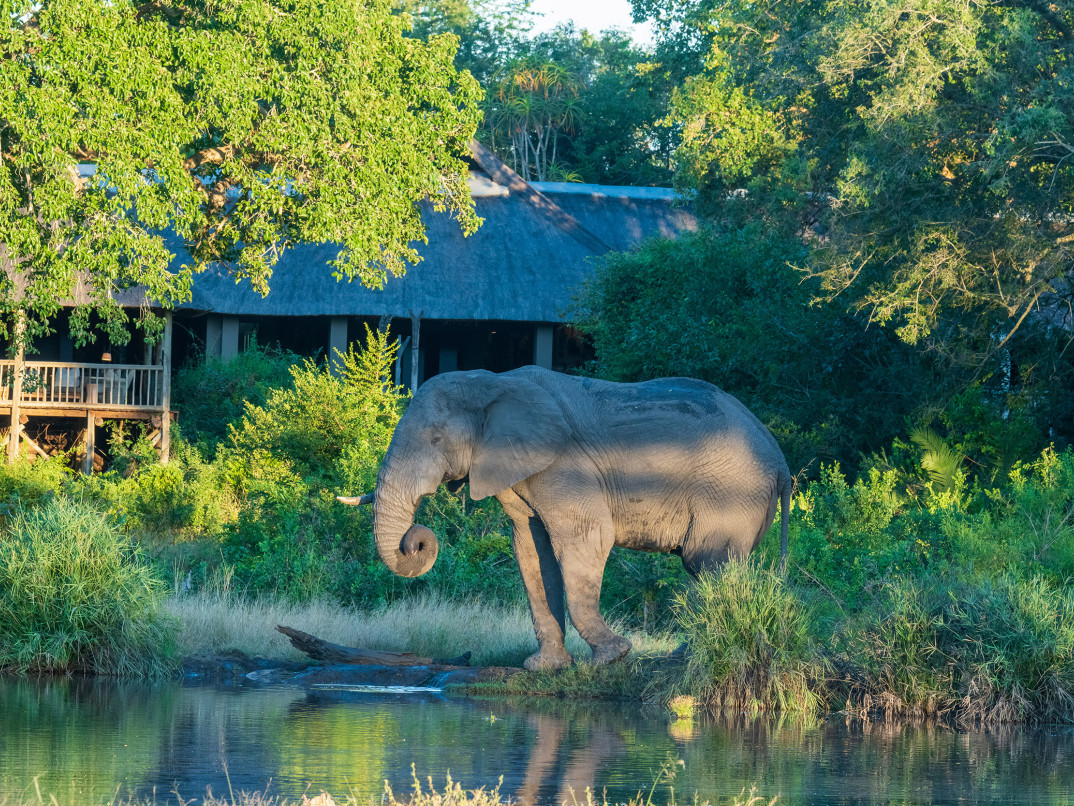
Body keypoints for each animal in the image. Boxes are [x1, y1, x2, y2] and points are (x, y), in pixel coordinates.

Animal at [339, 365, 791, 671]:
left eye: (435, 439)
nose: (416, 540)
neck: (495, 381)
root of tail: (781, 460)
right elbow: (531, 550)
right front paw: (545, 668)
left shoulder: (565, 466)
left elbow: (586, 538)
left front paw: (609, 659)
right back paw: (681, 657)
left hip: (730, 495)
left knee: (707, 563)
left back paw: (685, 659)